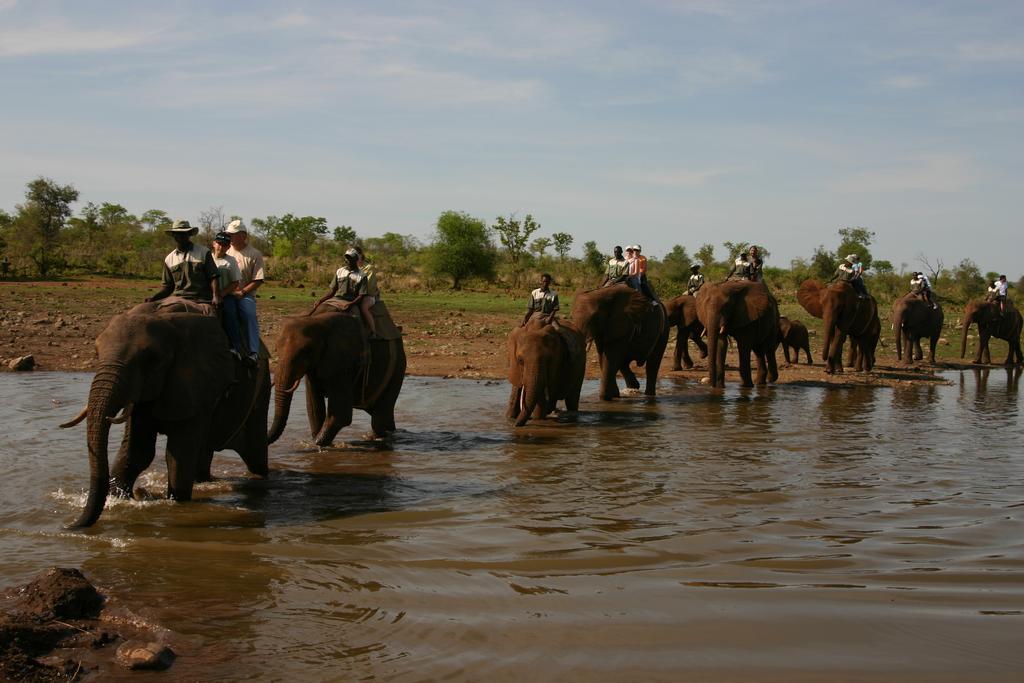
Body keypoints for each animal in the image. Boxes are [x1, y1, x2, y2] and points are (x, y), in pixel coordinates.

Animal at [268, 309, 403, 448]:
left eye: (306, 351)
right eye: (276, 349)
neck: (317, 321)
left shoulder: (342, 360)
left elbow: (340, 415)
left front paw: (318, 444)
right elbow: (314, 409)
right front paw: (314, 443)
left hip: (397, 368)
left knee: (379, 418)